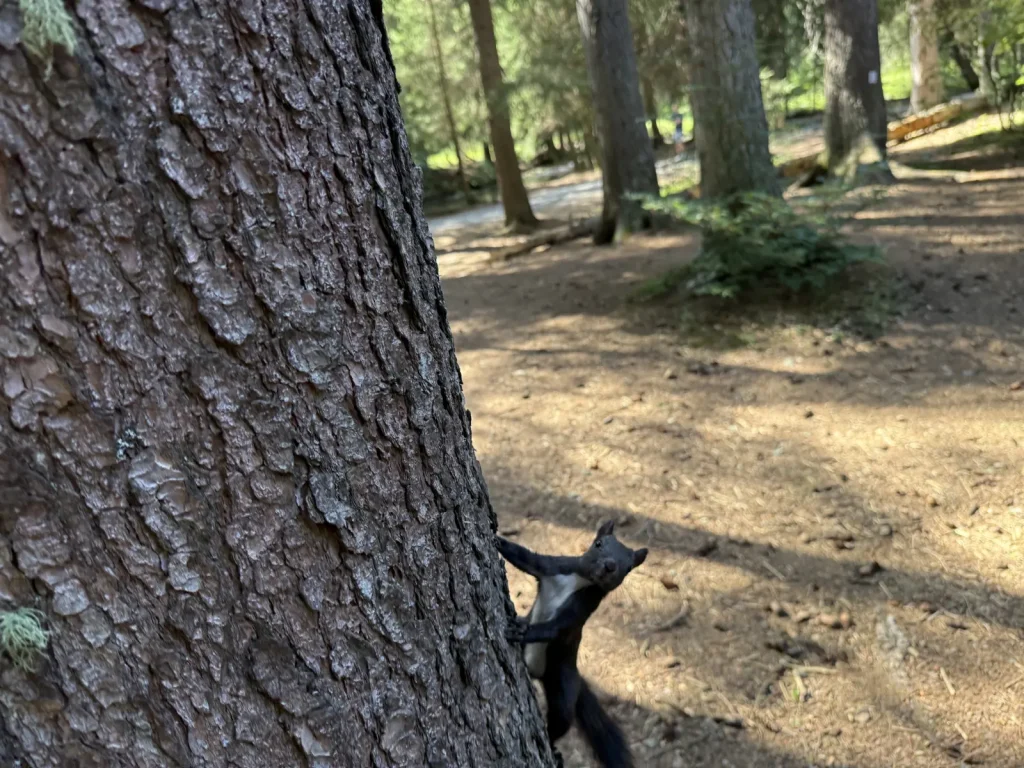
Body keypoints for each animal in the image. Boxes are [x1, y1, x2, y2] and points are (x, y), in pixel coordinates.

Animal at [499, 521, 648, 768]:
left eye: (628, 568)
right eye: (598, 544)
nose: (609, 566)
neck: (580, 581)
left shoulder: (582, 605)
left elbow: (554, 628)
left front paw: (523, 631)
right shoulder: (552, 567)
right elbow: (526, 557)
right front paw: (498, 538)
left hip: (562, 682)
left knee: (560, 719)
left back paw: (554, 749)